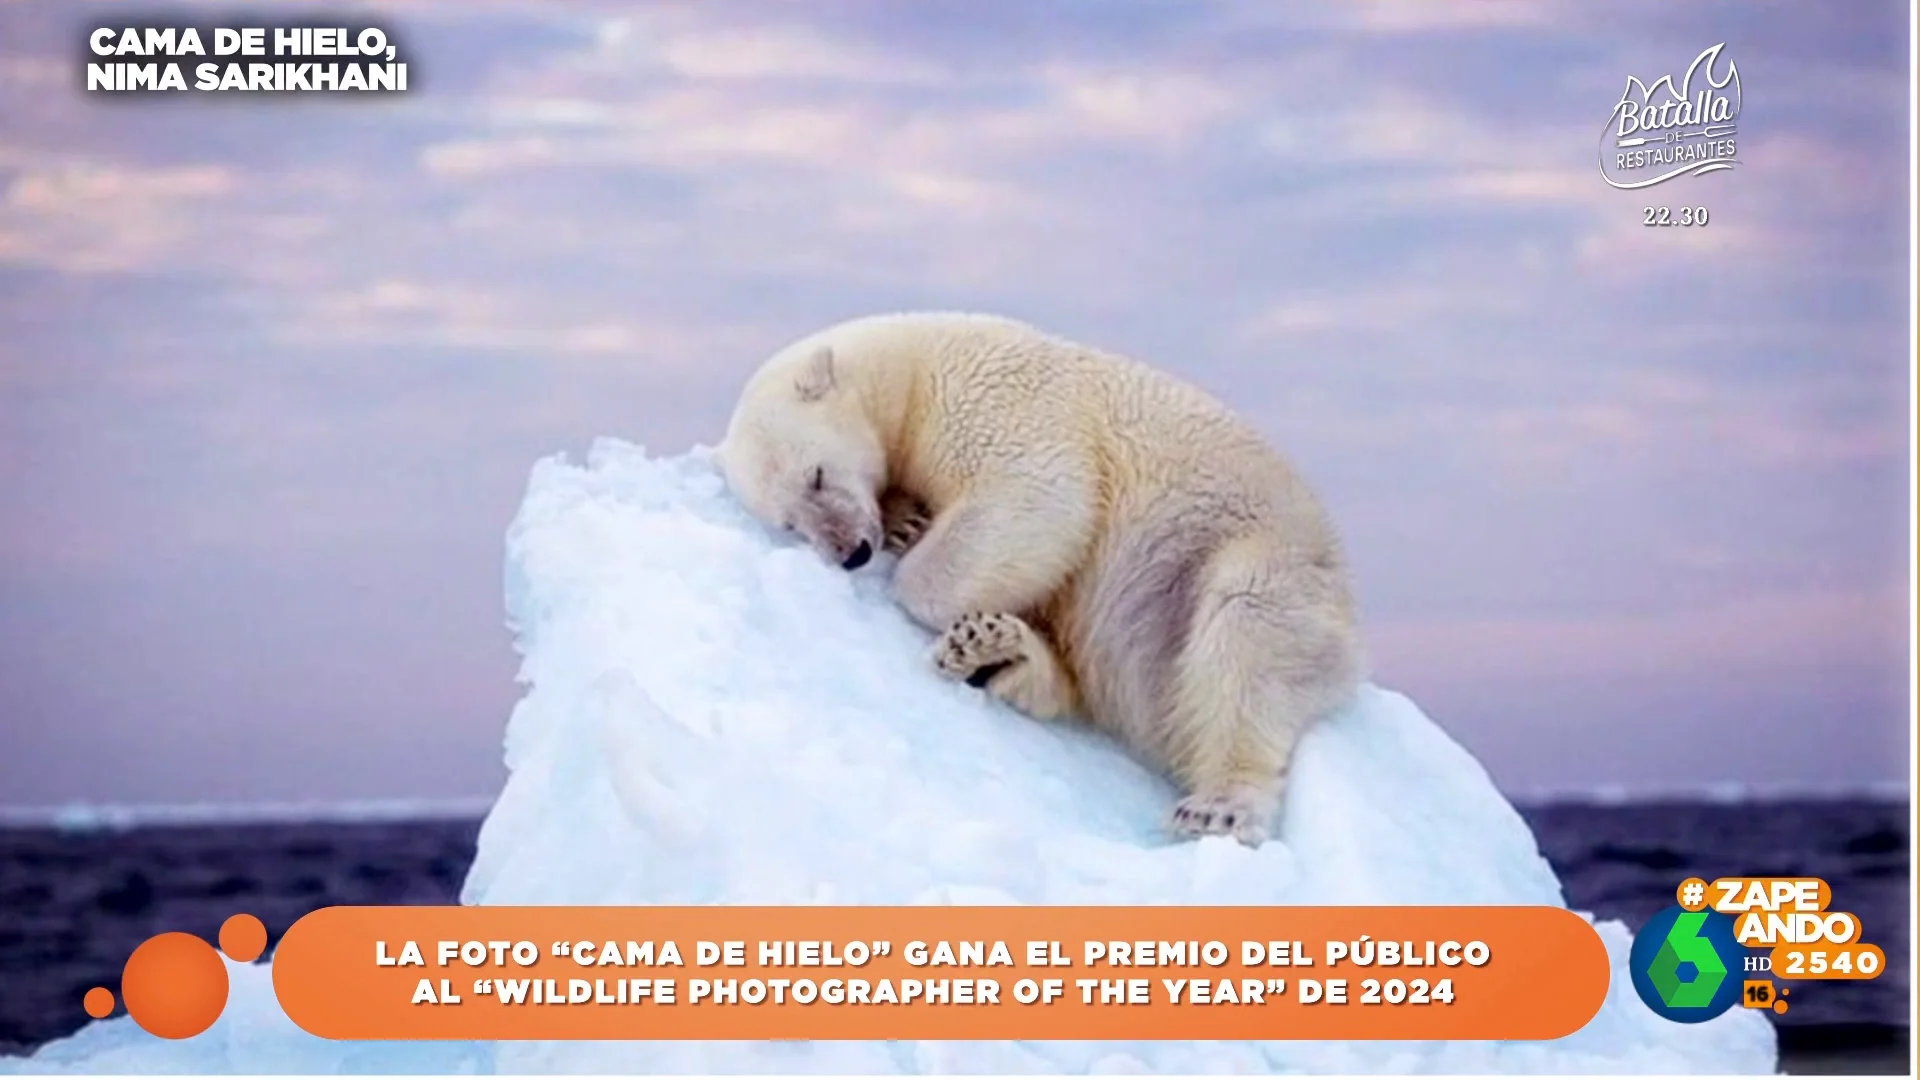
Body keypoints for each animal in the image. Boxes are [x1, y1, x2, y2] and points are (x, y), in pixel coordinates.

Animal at [721, 311, 1367, 841]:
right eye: (790, 522)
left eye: (817, 476)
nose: (851, 551)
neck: (911, 366)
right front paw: (907, 522)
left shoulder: (992, 400)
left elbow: (1039, 499)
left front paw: (913, 562)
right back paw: (993, 653)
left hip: (1256, 556)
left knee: (1247, 638)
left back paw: (1220, 806)